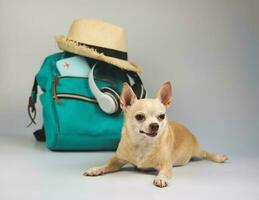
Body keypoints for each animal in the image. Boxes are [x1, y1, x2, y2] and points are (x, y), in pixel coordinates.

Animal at [84, 81, 229, 188]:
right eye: (139, 117)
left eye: (161, 116)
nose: (155, 125)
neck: (142, 143)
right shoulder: (118, 159)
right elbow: (107, 164)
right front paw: (96, 169)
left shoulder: (166, 165)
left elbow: (164, 172)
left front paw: (160, 178)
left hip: (196, 152)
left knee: (205, 153)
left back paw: (219, 157)